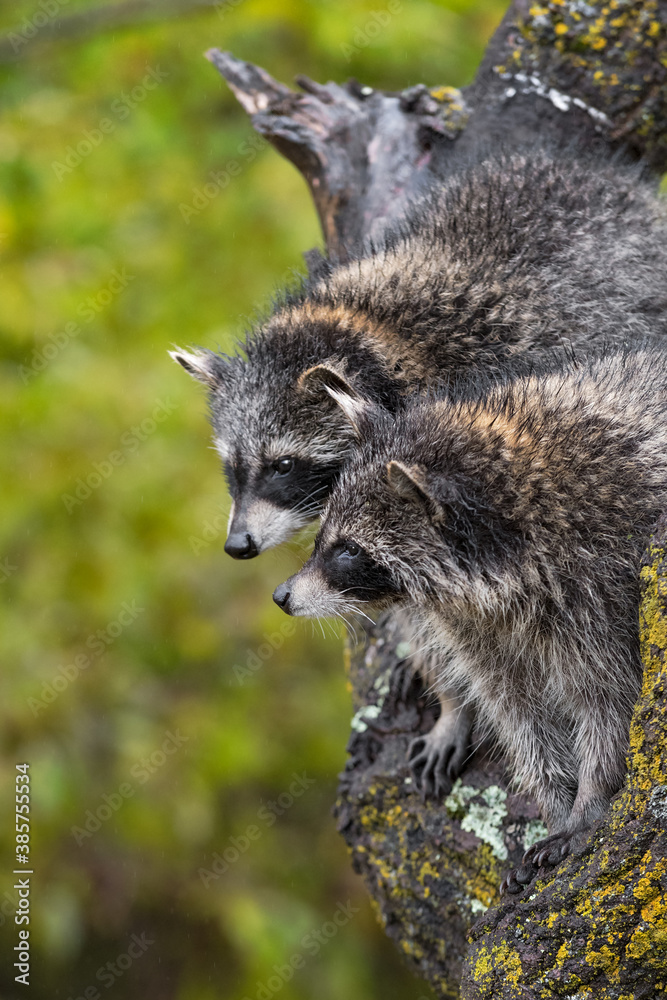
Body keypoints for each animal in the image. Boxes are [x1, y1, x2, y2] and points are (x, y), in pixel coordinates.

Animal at [272, 348, 667, 890]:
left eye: (348, 550)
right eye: (323, 537)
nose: (282, 595)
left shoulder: (604, 595)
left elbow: (607, 704)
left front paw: (590, 798)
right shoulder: (477, 624)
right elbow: (518, 713)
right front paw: (555, 802)